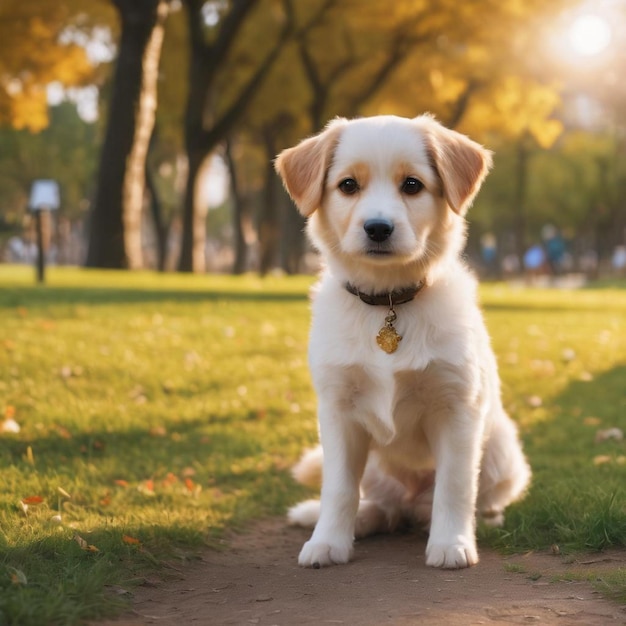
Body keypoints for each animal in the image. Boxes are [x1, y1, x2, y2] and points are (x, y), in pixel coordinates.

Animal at [272, 114, 528, 568]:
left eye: (412, 185)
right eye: (348, 185)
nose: (378, 228)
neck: (388, 301)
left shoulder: (457, 408)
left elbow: (455, 486)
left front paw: (451, 543)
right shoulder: (338, 412)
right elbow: (339, 488)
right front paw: (327, 541)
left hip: (502, 453)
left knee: (461, 501)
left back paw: (472, 523)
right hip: (377, 469)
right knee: (381, 506)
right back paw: (357, 520)